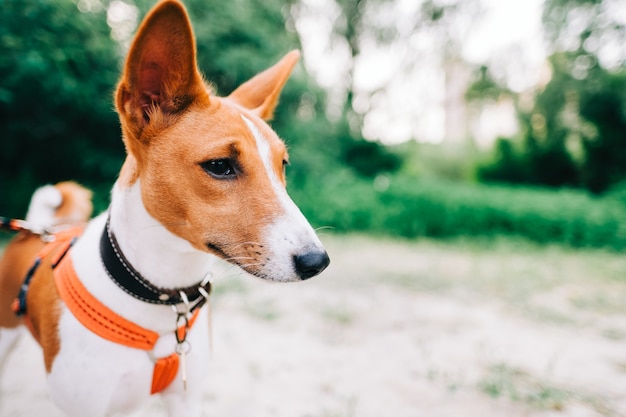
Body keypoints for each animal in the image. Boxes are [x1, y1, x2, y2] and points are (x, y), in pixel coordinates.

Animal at [0, 1, 330, 414]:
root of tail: (34, 231)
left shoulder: (186, 399)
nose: (317, 261)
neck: (162, 299)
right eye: (219, 165)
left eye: (282, 165)